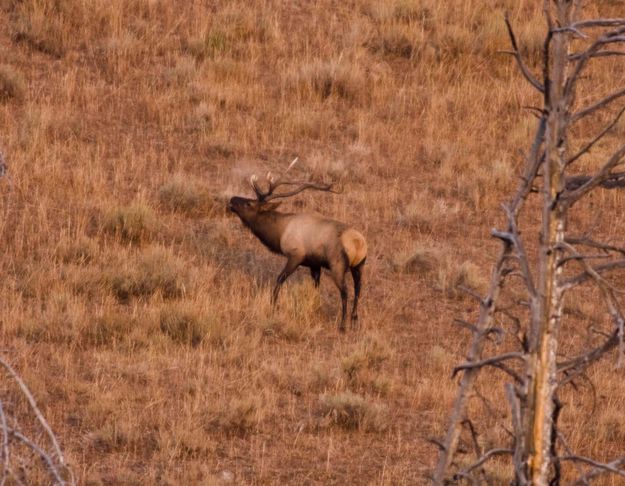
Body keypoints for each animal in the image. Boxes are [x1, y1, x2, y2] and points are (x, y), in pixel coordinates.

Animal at [228, 159, 366, 330]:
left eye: (249, 203)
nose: (232, 199)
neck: (279, 232)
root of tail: (358, 243)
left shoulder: (296, 255)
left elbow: (280, 278)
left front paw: (273, 304)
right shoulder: (315, 264)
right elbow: (315, 286)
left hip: (337, 265)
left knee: (345, 292)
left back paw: (342, 325)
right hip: (359, 266)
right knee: (358, 288)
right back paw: (354, 319)